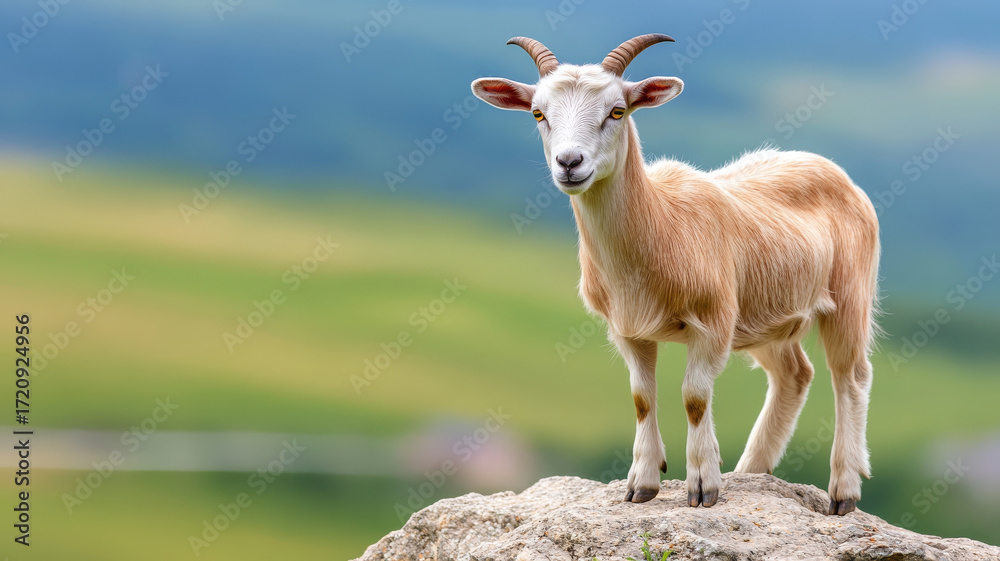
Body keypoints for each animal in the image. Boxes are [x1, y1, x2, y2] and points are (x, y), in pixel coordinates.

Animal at [471, 35, 880, 515]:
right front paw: (642, 484)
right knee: (795, 374)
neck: (661, 223)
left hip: (849, 293)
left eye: (617, 111)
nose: (570, 163)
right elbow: (642, 398)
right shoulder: (628, 330)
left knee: (850, 377)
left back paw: (843, 490)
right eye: (538, 113)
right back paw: (751, 471)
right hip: (767, 316)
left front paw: (703, 486)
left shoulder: (714, 321)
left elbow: (694, 398)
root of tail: (831, 168)